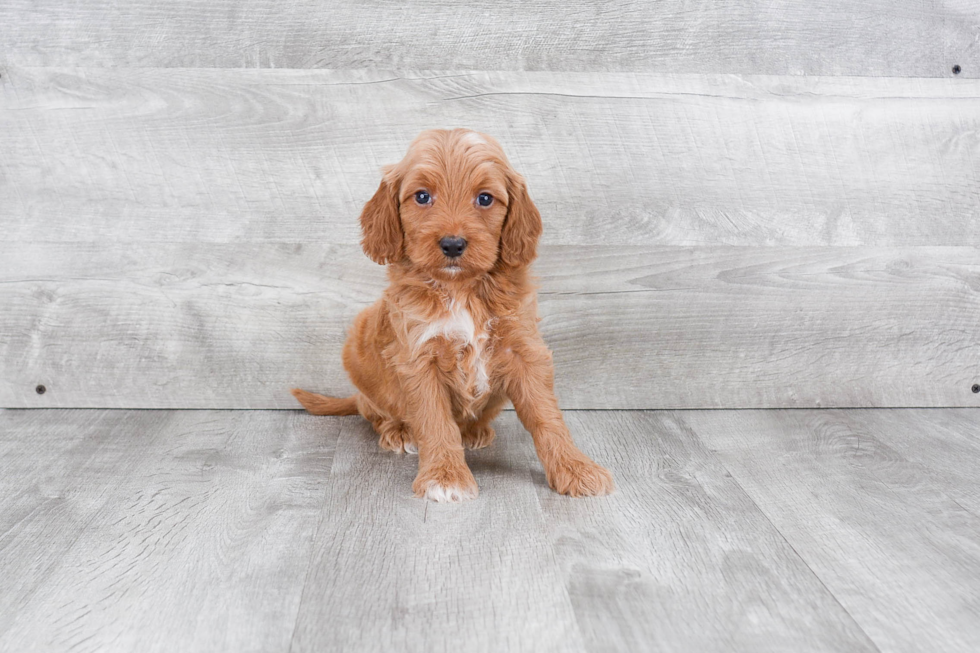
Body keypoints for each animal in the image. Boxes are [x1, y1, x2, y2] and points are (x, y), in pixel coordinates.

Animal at [290, 129, 612, 504]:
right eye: (422, 196)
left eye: (485, 199)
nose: (453, 244)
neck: (462, 290)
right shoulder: (419, 357)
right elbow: (434, 421)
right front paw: (445, 477)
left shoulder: (524, 348)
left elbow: (546, 415)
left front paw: (575, 468)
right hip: (359, 344)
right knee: (375, 412)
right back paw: (399, 430)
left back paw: (474, 430)